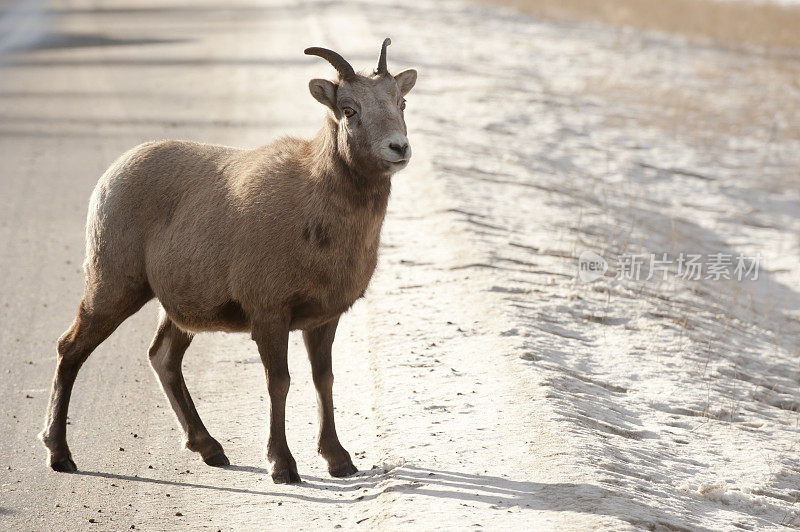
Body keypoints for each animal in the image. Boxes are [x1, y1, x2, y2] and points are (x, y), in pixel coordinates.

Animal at [39, 39, 416, 484]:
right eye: (349, 109)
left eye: (401, 102)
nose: (398, 148)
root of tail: (109, 177)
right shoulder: (269, 314)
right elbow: (279, 383)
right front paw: (282, 466)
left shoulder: (323, 318)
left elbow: (323, 380)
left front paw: (338, 460)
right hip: (112, 287)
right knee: (70, 349)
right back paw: (60, 454)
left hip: (176, 309)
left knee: (162, 357)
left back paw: (211, 449)